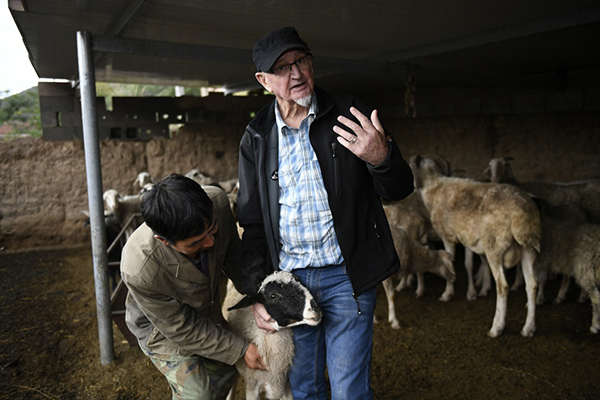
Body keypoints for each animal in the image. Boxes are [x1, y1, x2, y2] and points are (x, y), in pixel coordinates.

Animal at [410, 155, 540, 336]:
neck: (433, 187)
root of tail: (521, 213)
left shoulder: (448, 237)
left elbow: (451, 263)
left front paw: (448, 294)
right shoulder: (468, 239)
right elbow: (469, 264)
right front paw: (474, 292)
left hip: (495, 247)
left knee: (503, 286)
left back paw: (496, 327)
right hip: (529, 247)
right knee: (532, 286)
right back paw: (528, 328)